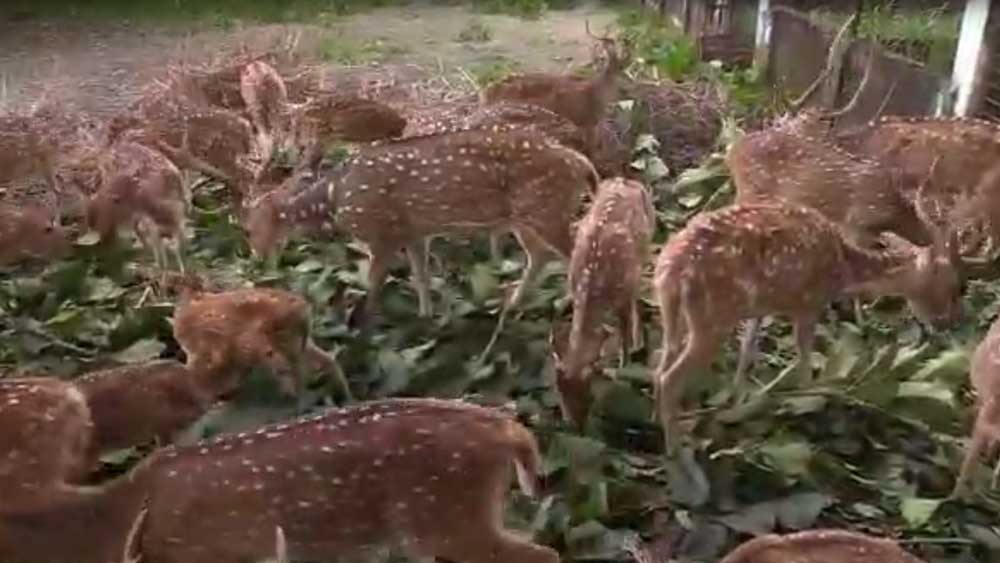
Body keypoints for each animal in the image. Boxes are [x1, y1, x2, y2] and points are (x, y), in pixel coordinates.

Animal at [170, 276, 352, 410]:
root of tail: (302, 307)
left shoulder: (211, 346)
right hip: (295, 341)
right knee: (322, 361)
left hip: (274, 338)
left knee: (292, 368)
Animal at [244, 127, 600, 323]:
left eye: (249, 227)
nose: (256, 258)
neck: (334, 197)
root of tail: (582, 164)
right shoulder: (414, 232)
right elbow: (421, 276)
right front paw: (426, 315)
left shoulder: (382, 232)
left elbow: (374, 281)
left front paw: (368, 320)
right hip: (526, 217)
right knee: (540, 254)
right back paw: (513, 304)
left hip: (545, 209)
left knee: (574, 251)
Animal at [550, 177, 655, 429]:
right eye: (560, 394)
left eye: (588, 396)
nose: (575, 426)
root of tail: (625, 181)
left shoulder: (623, 295)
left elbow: (625, 332)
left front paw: (625, 366)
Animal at [652, 202, 964, 452]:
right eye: (951, 286)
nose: (948, 321)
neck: (843, 269)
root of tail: (673, 266)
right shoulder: (807, 303)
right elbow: (803, 361)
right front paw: (807, 404)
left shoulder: (760, 308)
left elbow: (748, 348)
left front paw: (737, 400)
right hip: (713, 316)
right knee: (670, 377)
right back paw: (676, 452)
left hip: (672, 307)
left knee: (662, 363)